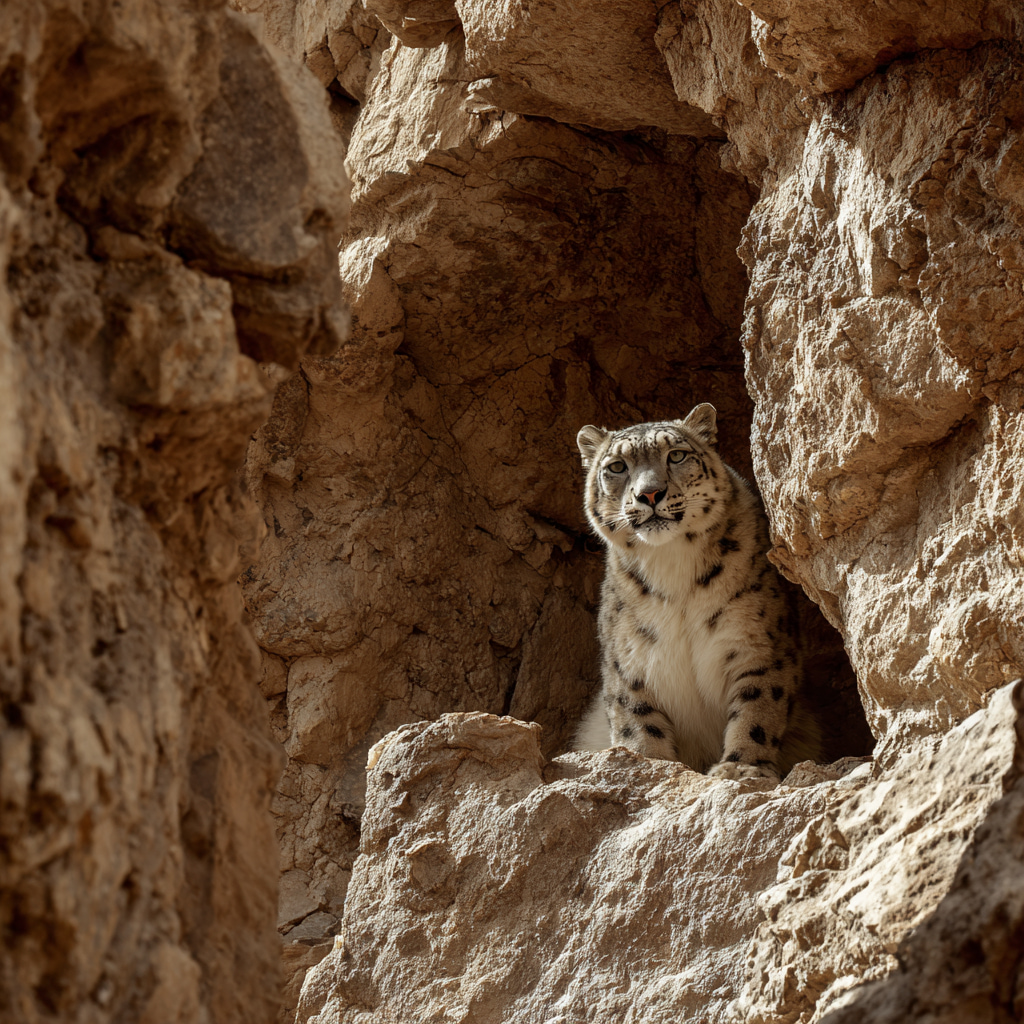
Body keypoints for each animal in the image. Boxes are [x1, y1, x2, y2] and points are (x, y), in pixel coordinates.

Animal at [572, 403, 822, 781]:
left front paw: (742, 768)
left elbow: (758, 708)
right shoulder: (628, 663)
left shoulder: (759, 646)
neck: (671, 563)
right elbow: (636, 720)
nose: (649, 494)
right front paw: (646, 767)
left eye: (676, 455)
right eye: (617, 466)